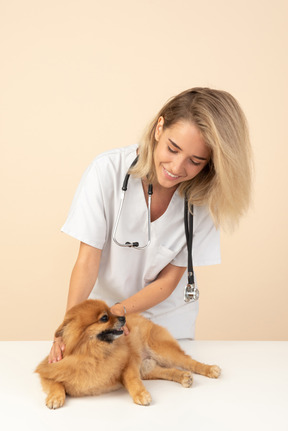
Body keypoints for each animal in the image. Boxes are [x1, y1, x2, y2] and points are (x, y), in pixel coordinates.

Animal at [36, 300, 220, 408]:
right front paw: (55, 397)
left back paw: (210, 369)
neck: (93, 353)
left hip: (163, 351)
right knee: (169, 371)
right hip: (147, 368)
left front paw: (140, 394)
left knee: (189, 362)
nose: (123, 318)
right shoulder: (49, 371)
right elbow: (56, 384)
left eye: (112, 312)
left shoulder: (129, 362)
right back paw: (183, 377)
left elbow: (131, 380)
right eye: (104, 318)